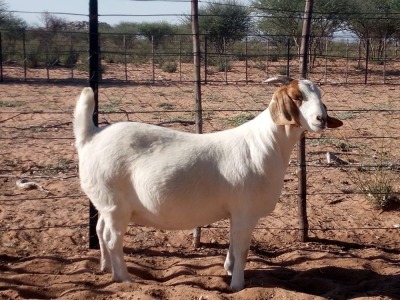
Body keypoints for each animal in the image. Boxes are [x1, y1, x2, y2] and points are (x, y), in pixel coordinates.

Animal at [73, 77, 342, 290]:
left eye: (321, 96)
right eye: (297, 97)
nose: (321, 119)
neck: (265, 143)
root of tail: (91, 137)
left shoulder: (236, 213)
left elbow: (233, 245)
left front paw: (229, 270)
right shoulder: (245, 211)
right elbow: (242, 248)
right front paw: (237, 285)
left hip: (105, 203)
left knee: (100, 231)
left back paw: (105, 269)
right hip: (115, 203)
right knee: (112, 239)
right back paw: (124, 279)